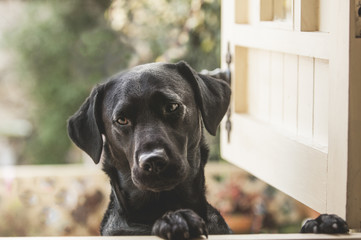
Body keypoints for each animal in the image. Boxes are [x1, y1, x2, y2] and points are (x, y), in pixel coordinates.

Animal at [67, 60, 346, 238]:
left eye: (172, 107)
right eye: (122, 120)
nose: (153, 160)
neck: (164, 203)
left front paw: (320, 223)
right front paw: (175, 221)